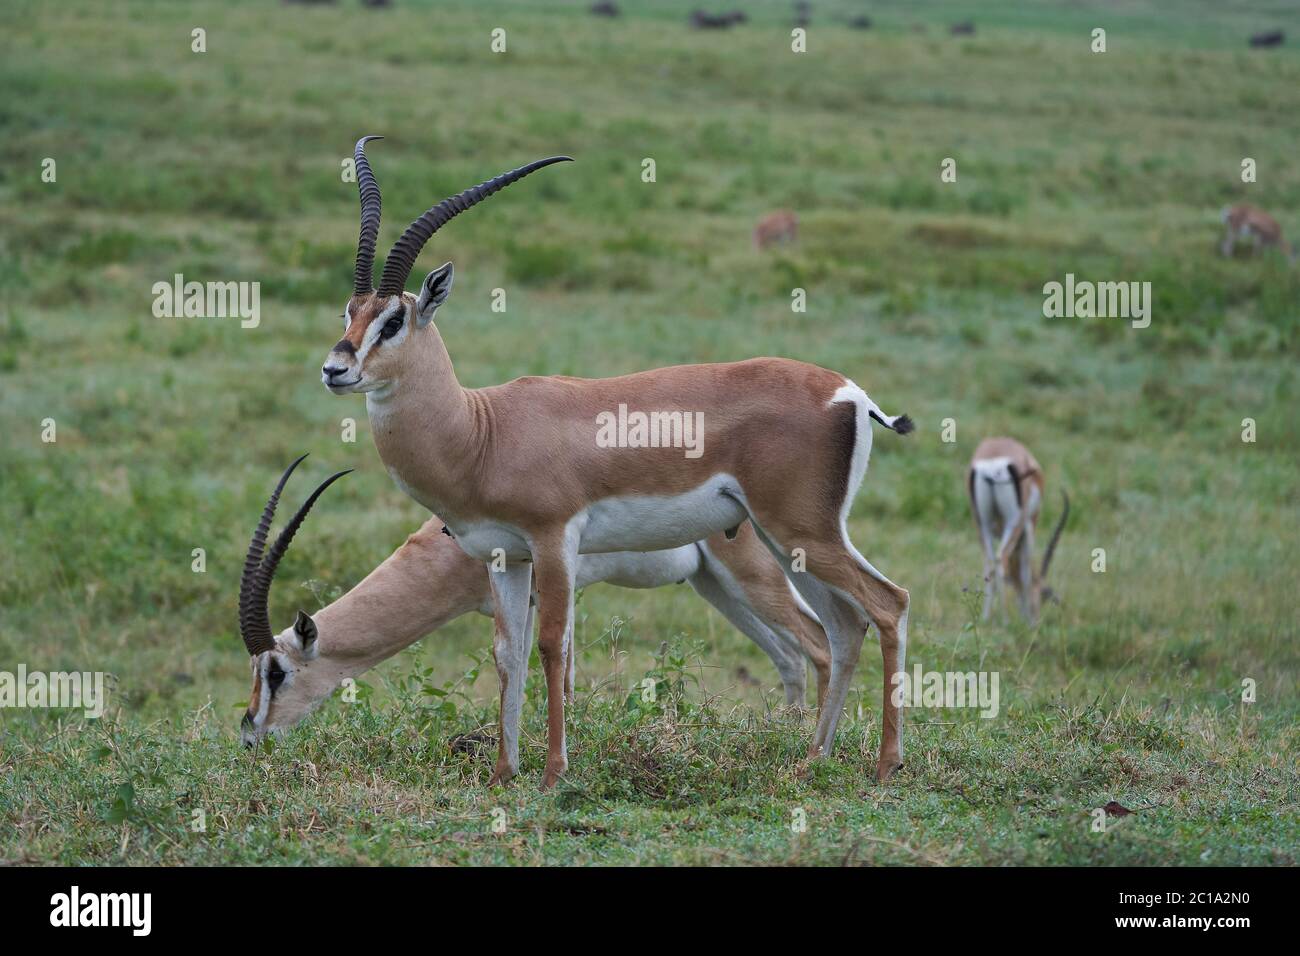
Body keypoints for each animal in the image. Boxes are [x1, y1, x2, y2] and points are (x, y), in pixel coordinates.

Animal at [237, 457, 831, 746]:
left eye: (276, 673)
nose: (249, 734)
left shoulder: (540, 594)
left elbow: (548, 671)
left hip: (750, 575)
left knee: (818, 640)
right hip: (715, 585)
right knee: (788, 655)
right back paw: (787, 733)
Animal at [321, 136, 914, 788]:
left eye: (394, 320)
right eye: (349, 310)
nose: (334, 369)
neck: (482, 432)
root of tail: (850, 393)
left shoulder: (555, 541)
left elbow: (552, 646)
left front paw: (553, 773)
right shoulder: (505, 557)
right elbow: (508, 654)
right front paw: (504, 774)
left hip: (799, 532)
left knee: (887, 604)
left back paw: (886, 764)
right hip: (786, 541)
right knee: (844, 625)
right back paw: (813, 760)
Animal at [968, 438, 1069, 625]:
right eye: (1042, 594)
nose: (1036, 618)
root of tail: (992, 461)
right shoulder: (1029, 525)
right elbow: (1025, 573)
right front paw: (1028, 621)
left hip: (981, 523)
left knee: (990, 562)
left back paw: (985, 618)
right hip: (1015, 521)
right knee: (1001, 559)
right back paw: (1006, 620)